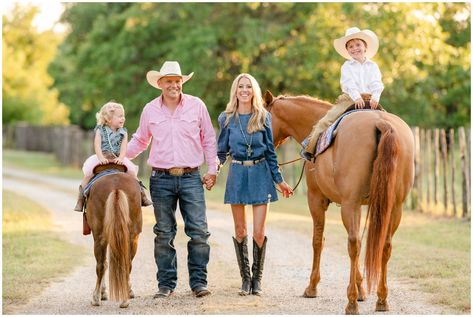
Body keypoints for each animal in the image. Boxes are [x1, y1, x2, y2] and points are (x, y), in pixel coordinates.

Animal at [85, 164, 142, 308]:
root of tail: (116, 187)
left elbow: (104, 263)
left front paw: (103, 293)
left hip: (100, 236)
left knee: (101, 265)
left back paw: (96, 298)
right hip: (132, 237)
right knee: (127, 262)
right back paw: (124, 299)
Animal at [264, 91, 414, 314]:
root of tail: (381, 123)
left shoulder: (317, 200)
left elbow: (318, 241)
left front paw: (312, 287)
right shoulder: (360, 205)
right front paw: (362, 290)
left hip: (350, 205)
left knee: (354, 244)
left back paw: (351, 302)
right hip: (394, 208)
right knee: (384, 246)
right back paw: (381, 299)